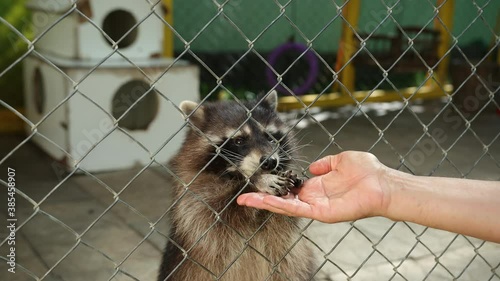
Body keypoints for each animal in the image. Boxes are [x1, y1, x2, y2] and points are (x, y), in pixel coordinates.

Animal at [158, 91, 314, 278]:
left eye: (270, 137)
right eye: (239, 141)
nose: (270, 162)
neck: (235, 174)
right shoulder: (194, 193)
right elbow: (213, 214)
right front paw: (258, 182)